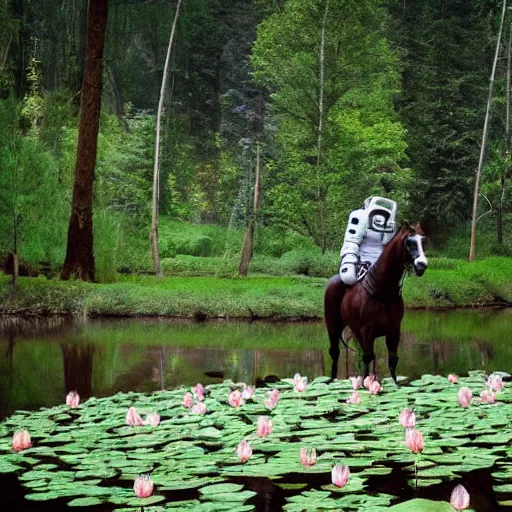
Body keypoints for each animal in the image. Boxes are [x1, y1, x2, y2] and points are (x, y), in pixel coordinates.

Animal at [324, 222, 428, 382]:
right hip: (333, 327)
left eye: (423, 241)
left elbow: (392, 361)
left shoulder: (394, 331)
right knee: (335, 353)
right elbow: (368, 359)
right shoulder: (367, 331)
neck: (382, 291)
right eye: (410, 242)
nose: (422, 265)